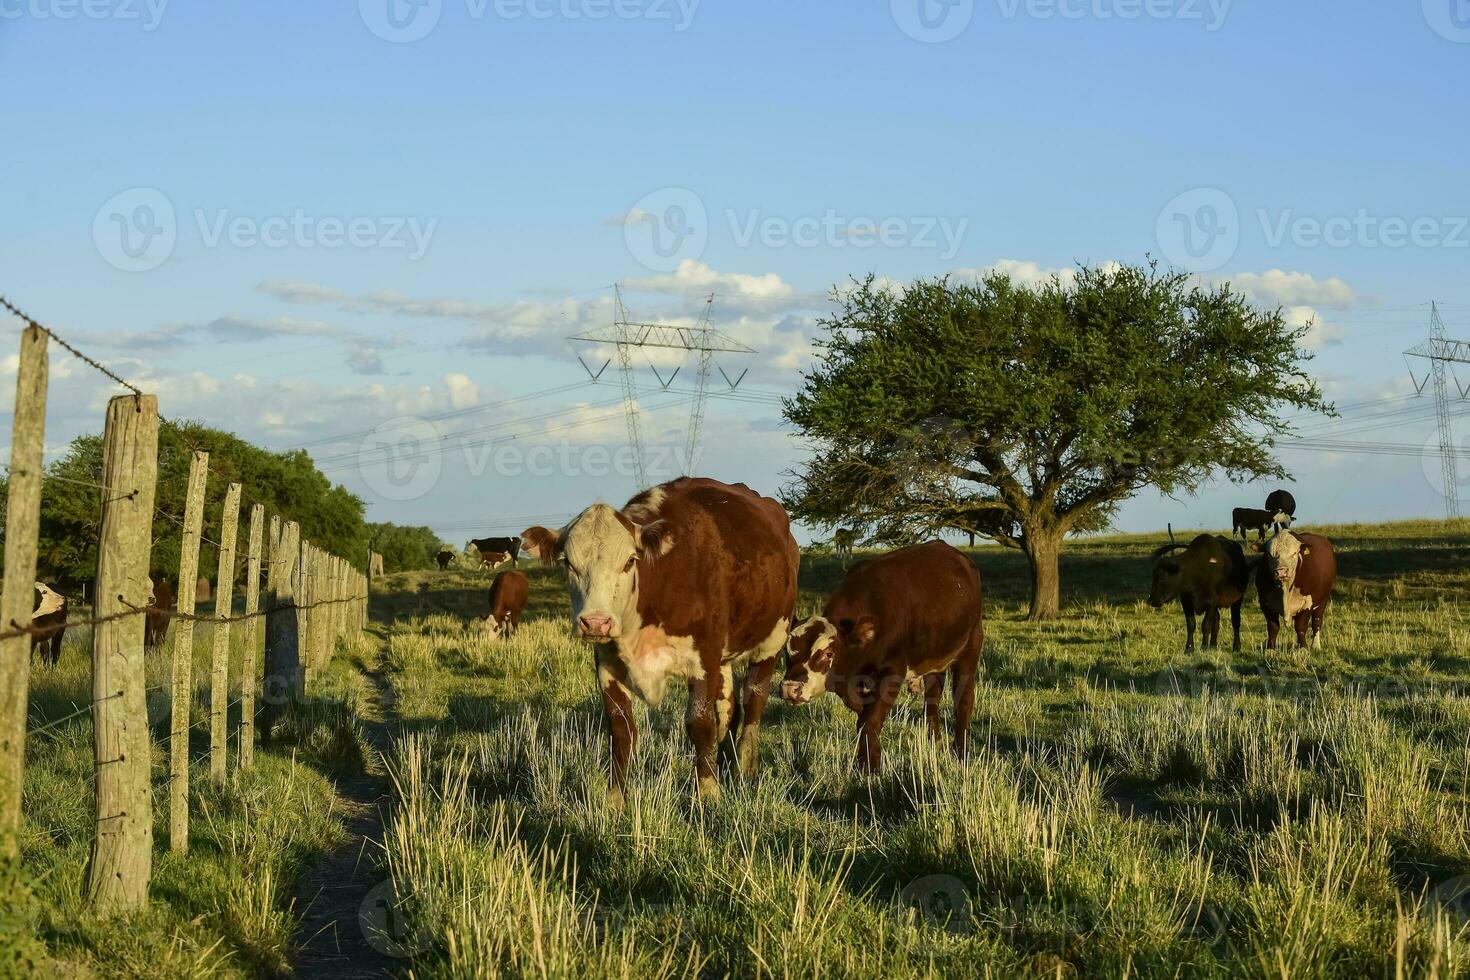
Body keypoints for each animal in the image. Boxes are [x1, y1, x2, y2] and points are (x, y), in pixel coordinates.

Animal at [523, 476, 799, 805]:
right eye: (568, 563)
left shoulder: (702, 659)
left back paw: (745, 766)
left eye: (630, 561)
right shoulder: (607, 665)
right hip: (724, 659)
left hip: (771, 641)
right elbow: (621, 728)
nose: (596, 622)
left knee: (754, 702)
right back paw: (725, 763)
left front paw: (708, 792)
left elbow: (700, 723)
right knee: (729, 711)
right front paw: (615, 799)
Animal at [776, 537, 981, 775]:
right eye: (788, 651)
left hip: (970, 648)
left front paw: (871, 768)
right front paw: (865, 762)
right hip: (934, 661)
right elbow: (863, 718)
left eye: (828, 653)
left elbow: (870, 720)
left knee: (963, 702)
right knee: (932, 701)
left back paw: (960, 753)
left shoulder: (893, 671)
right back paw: (935, 746)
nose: (790, 688)